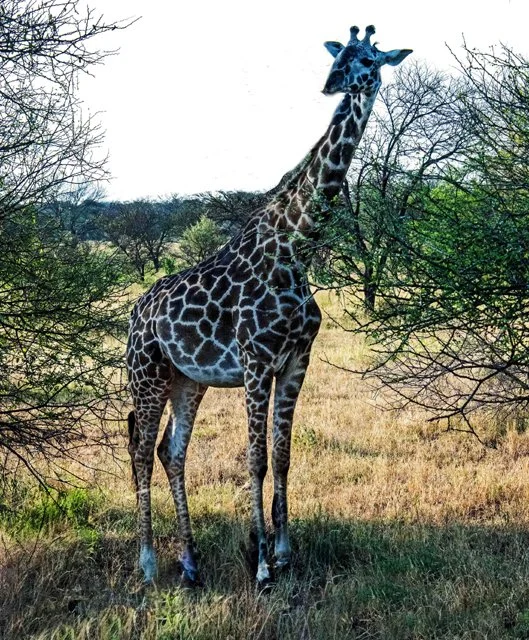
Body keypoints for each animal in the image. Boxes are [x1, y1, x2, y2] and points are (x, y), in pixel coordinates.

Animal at [126, 25, 412, 586]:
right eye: (339, 57)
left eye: (369, 60)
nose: (333, 83)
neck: (297, 247)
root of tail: (134, 315)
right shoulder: (257, 362)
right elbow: (254, 459)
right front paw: (259, 564)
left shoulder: (297, 359)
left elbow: (281, 456)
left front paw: (283, 552)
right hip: (147, 374)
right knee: (143, 448)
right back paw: (148, 563)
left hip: (187, 379)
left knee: (172, 450)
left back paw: (191, 563)